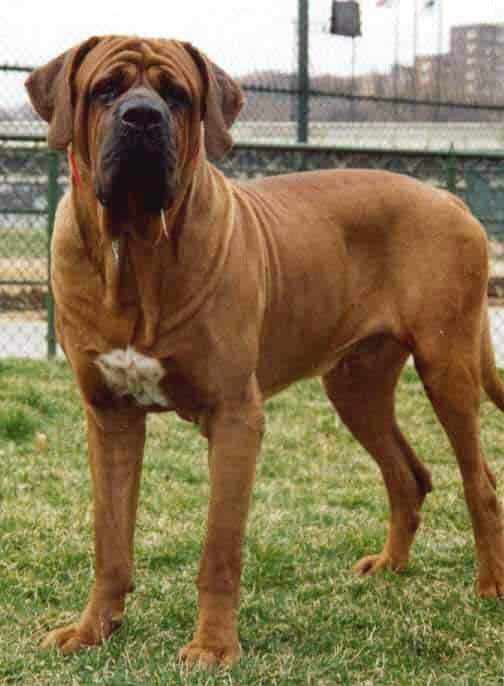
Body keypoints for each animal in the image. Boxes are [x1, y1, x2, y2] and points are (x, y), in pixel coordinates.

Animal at [25, 36, 504, 668]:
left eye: (177, 95)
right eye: (105, 89)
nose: (142, 118)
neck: (134, 247)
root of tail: (453, 199)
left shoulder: (235, 417)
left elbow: (220, 549)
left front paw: (212, 645)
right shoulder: (110, 417)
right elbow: (110, 540)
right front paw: (92, 631)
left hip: (445, 366)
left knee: (481, 482)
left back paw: (491, 584)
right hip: (355, 385)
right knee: (408, 474)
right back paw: (390, 566)